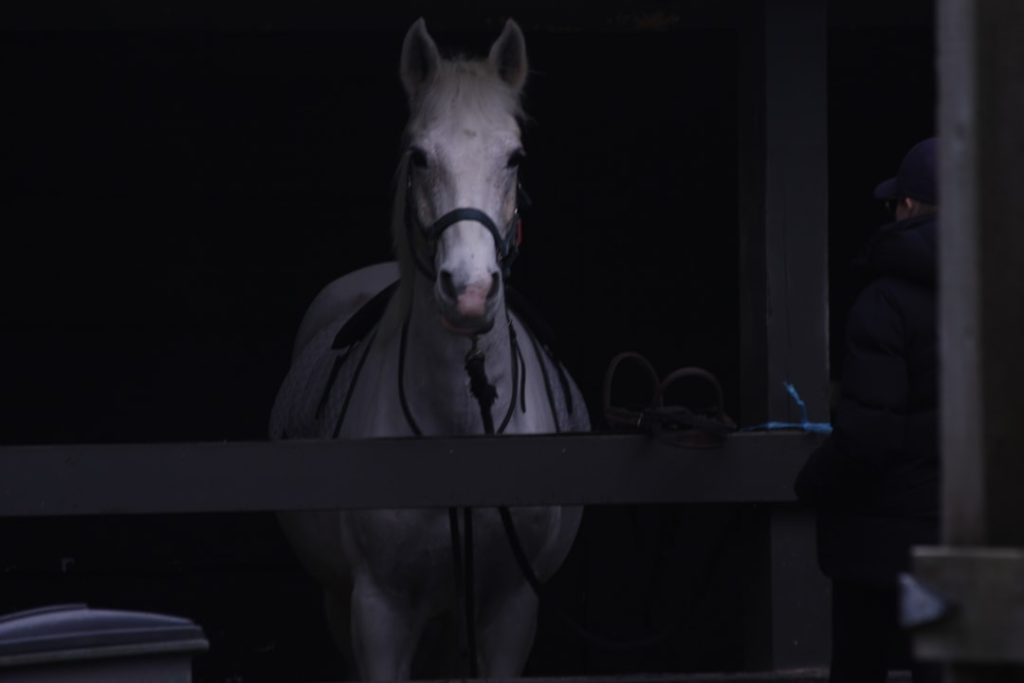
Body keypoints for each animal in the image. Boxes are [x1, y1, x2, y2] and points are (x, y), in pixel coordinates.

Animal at [269, 18, 589, 681]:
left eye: (514, 157)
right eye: (418, 156)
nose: (468, 292)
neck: (457, 439)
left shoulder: (510, 611)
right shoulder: (379, 612)